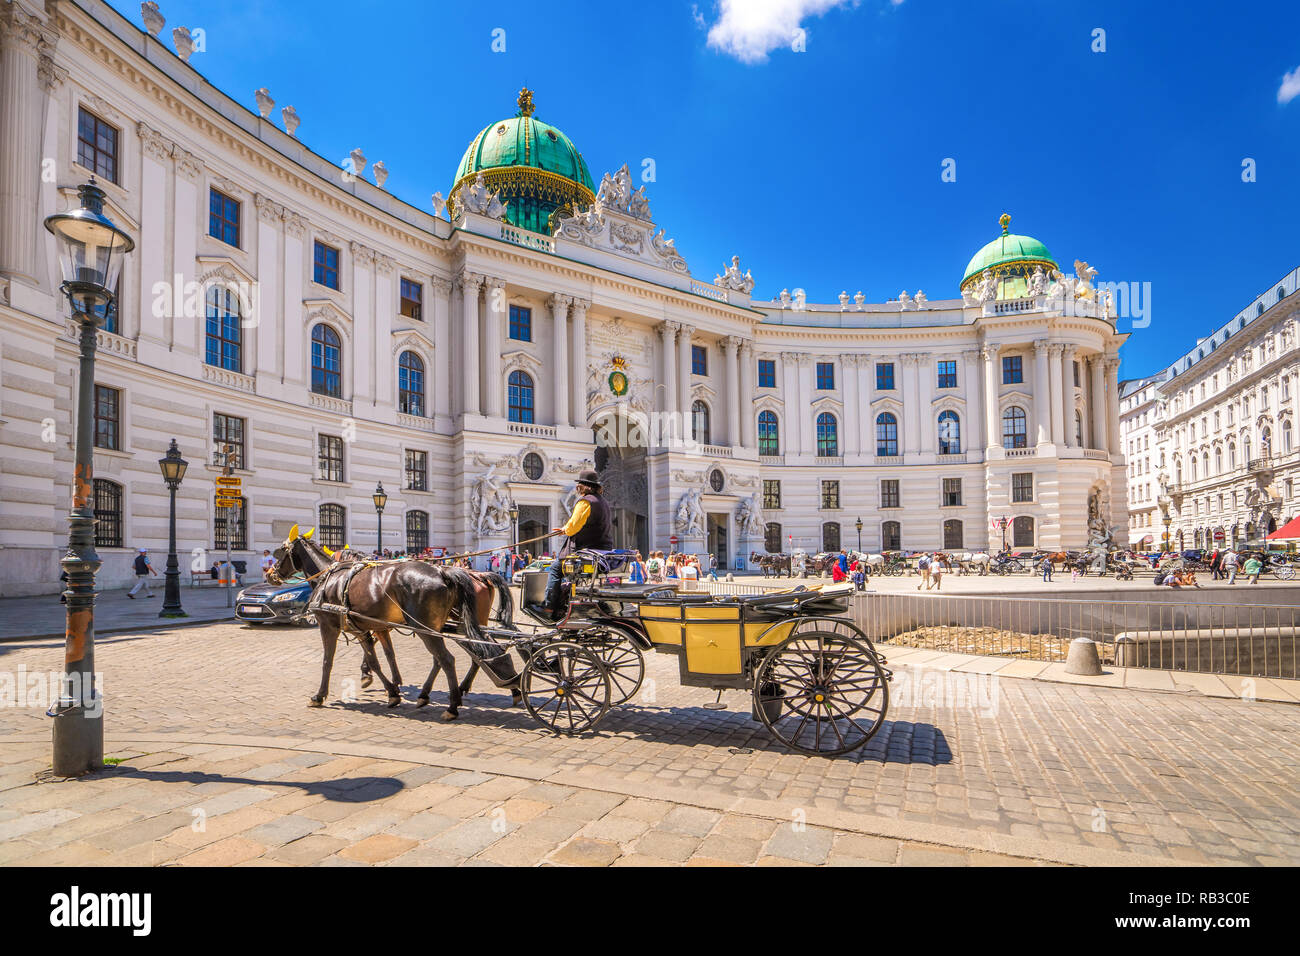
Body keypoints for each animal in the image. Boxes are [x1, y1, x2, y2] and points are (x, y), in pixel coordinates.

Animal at [270, 528, 517, 723]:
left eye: (281, 551)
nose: (270, 574)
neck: (333, 578)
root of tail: (444, 571)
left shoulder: (329, 626)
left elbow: (328, 661)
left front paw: (319, 695)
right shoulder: (368, 628)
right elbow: (381, 658)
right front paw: (392, 688)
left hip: (432, 627)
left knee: (449, 659)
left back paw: (453, 705)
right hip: (451, 626)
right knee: (473, 653)